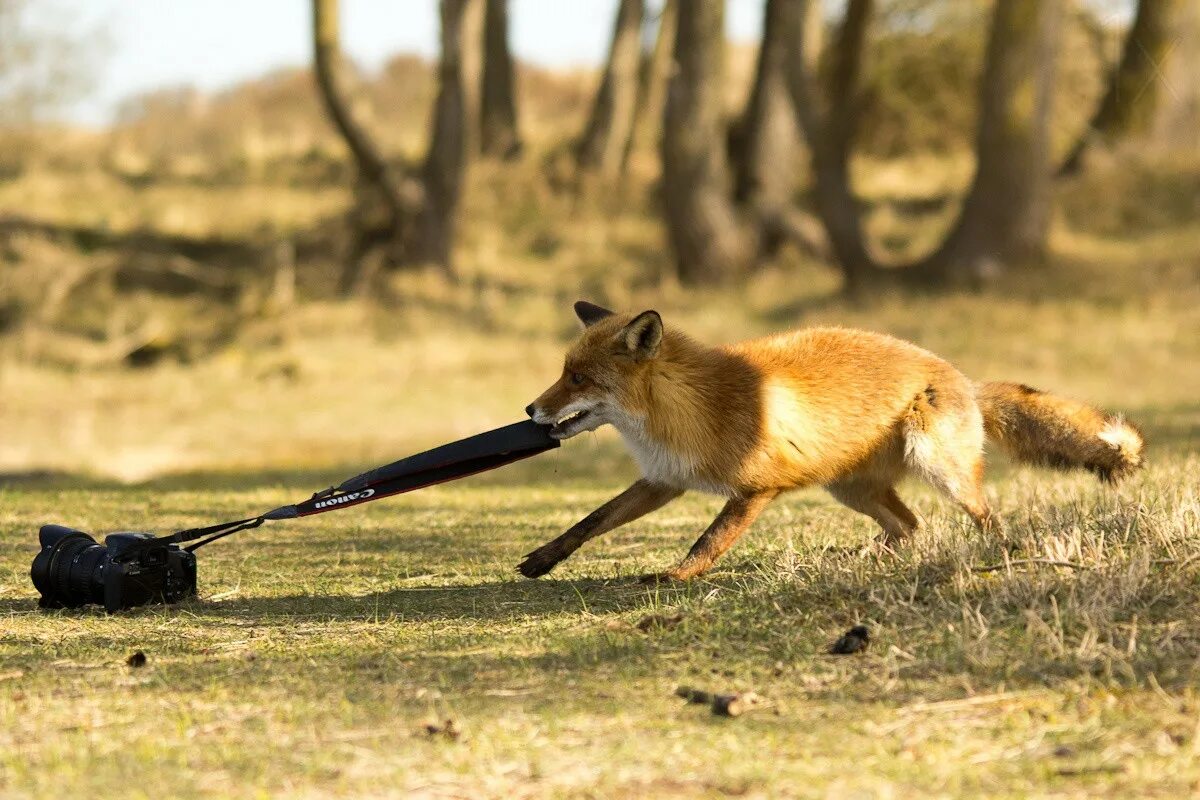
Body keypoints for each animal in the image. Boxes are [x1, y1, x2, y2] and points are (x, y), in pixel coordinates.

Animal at [518, 299, 1142, 582]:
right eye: (565, 372)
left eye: (579, 379)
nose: (530, 409)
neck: (686, 407)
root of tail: (964, 377)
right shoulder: (663, 479)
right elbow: (592, 520)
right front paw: (543, 559)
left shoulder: (756, 489)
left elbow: (709, 539)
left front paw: (676, 576)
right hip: (850, 490)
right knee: (909, 526)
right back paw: (866, 558)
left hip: (938, 465)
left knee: (986, 518)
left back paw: (997, 555)